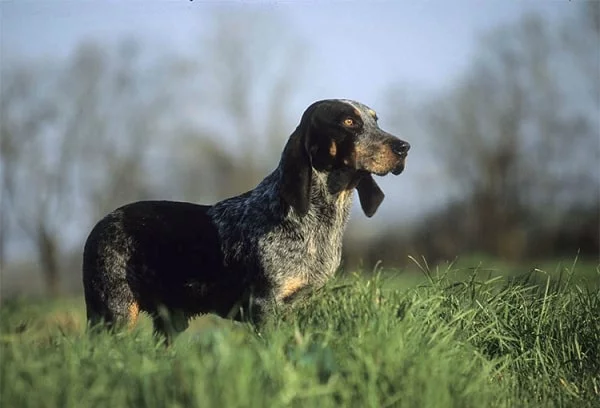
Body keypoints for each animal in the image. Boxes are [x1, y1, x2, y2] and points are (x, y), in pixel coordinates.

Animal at [82, 99, 410, 342]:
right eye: (348, 122)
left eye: (375, 120)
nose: (404, 147)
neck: (319, 221)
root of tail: (101, 223)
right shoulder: (265, 306)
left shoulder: (299, 305)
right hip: (115, 313)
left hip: (169, 321)